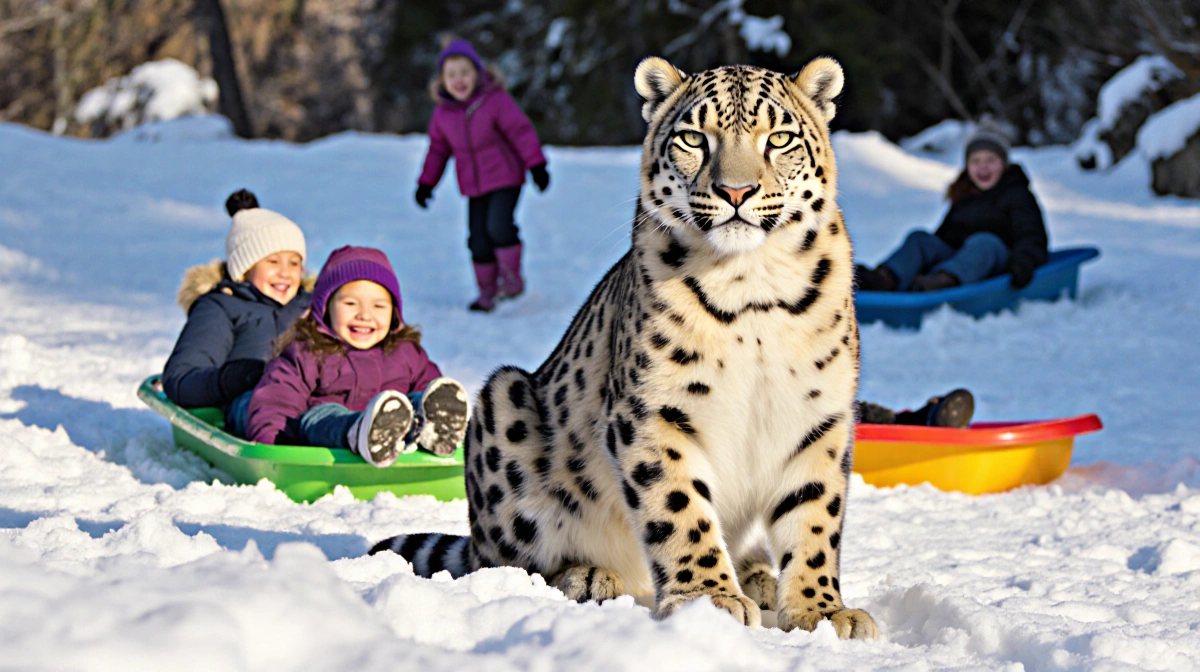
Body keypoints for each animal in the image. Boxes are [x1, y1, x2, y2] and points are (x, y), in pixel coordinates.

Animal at [371, 56, 877, 639]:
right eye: (694, 137)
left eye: (779, 138)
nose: (736, 192)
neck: (751, 289)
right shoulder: (655, 409)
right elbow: (679, 508)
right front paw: (707, 599)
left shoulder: (818, 415)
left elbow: (815, 519)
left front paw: (823, 611)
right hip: (503, 405)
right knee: (505, 563)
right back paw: (589, 576)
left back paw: (759, 578)